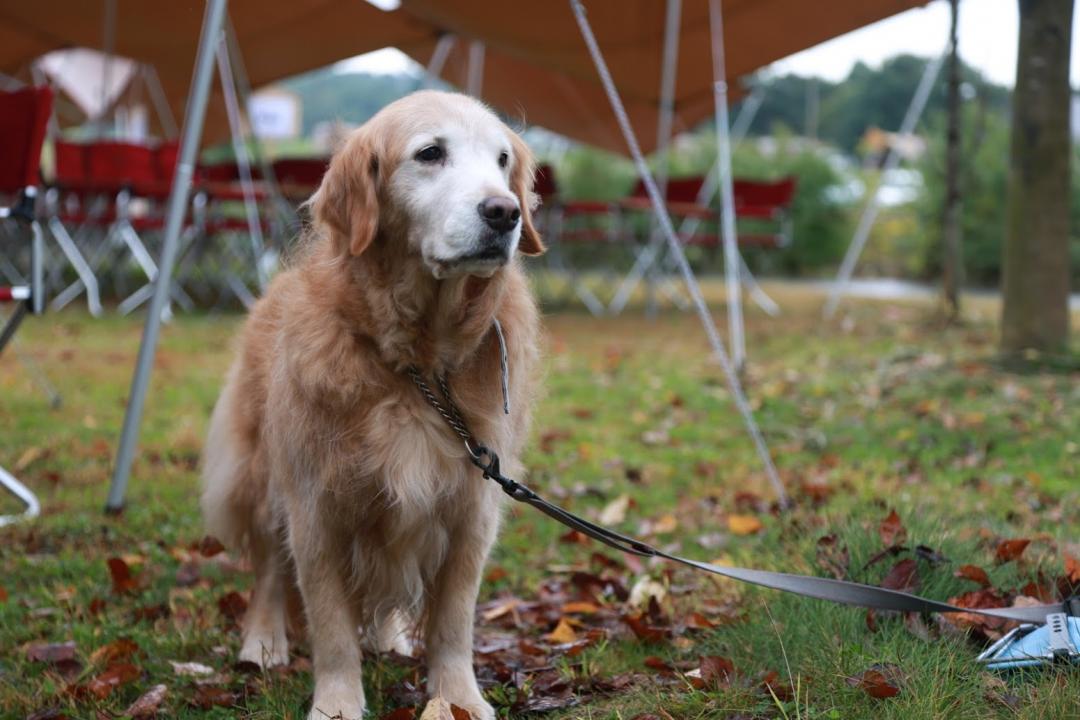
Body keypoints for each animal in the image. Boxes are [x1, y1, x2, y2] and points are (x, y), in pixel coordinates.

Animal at [199, 91, 544, 720]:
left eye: (503, 160)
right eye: (430, 153)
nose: (505, 212)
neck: (415, 364)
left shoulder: (470, 508)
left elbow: (453, 622)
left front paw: (458, 697)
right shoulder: (317, 509)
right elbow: (332, 626)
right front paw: (337, 703)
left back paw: (389, 638)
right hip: (264, 478)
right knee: (269, 569)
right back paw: (262, 641)